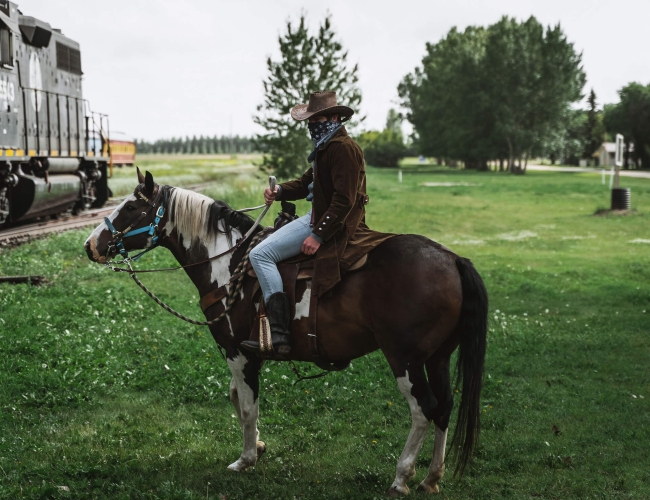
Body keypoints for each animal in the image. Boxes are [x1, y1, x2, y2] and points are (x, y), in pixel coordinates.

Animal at [82, 171, 486, 496]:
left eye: (131, 207)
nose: (90, 245)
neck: (227, 263)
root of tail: (453, 259)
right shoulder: (248, 356)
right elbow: (237, 399)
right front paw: (259, 447)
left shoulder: (238, 353)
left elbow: (247, 407)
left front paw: (245, 459)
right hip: (437, 358)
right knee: (444, 408)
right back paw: (431, 478)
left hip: (404, 359)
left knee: (423, 410)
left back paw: (401, 477)